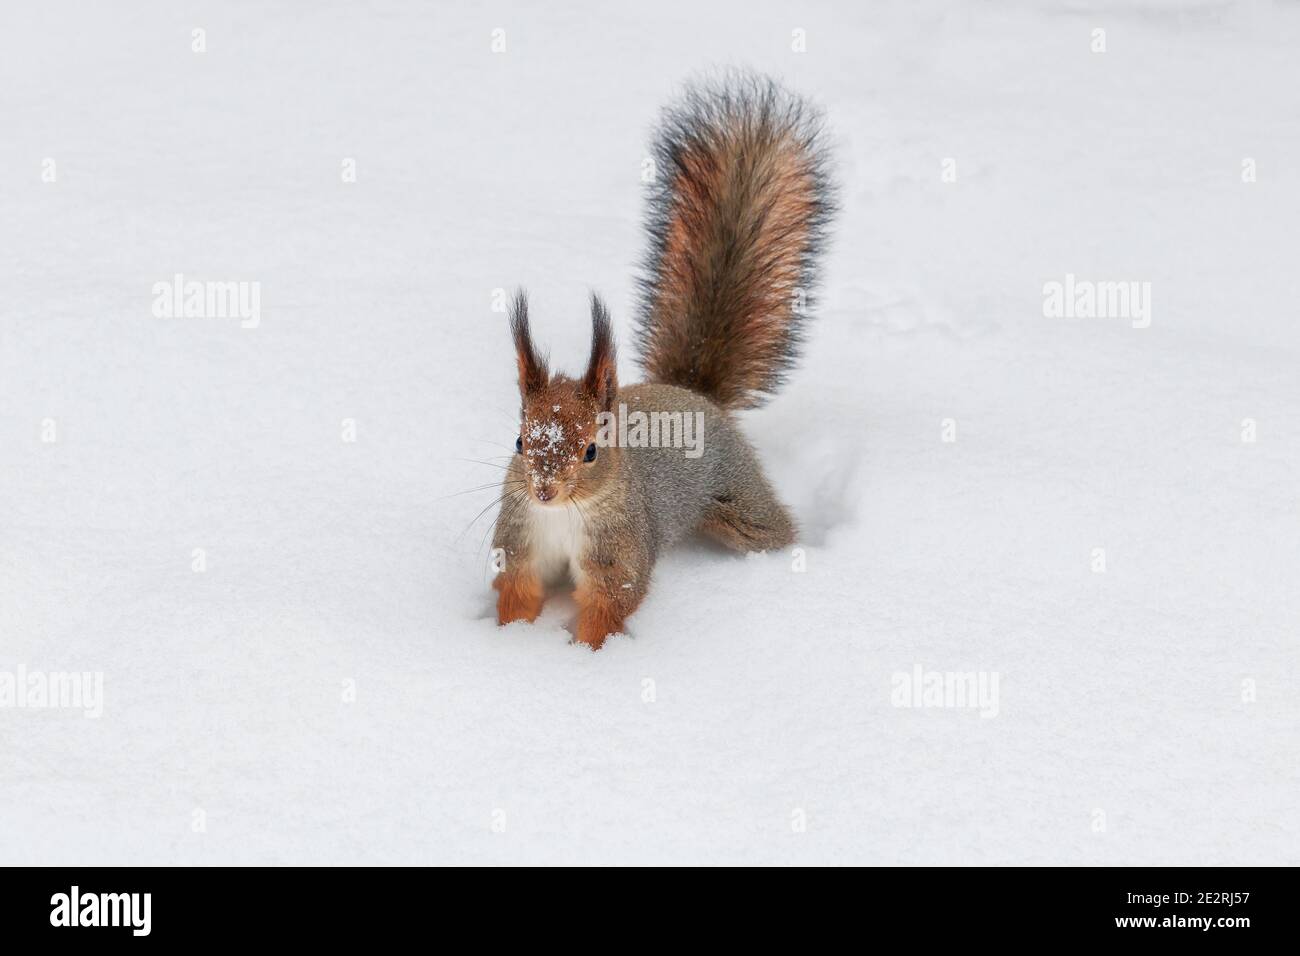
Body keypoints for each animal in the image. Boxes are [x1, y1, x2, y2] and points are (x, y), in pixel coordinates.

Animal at [491, 72, 834, 649]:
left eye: (591, 450)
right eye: (519, 441)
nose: (543, 489)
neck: (562, 517)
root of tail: (692, 393)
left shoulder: (620, 553)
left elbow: (609, 607)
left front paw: (583, 656)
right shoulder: (519, 542)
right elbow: (517, 591)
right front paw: (503, 644)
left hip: (739, 499)